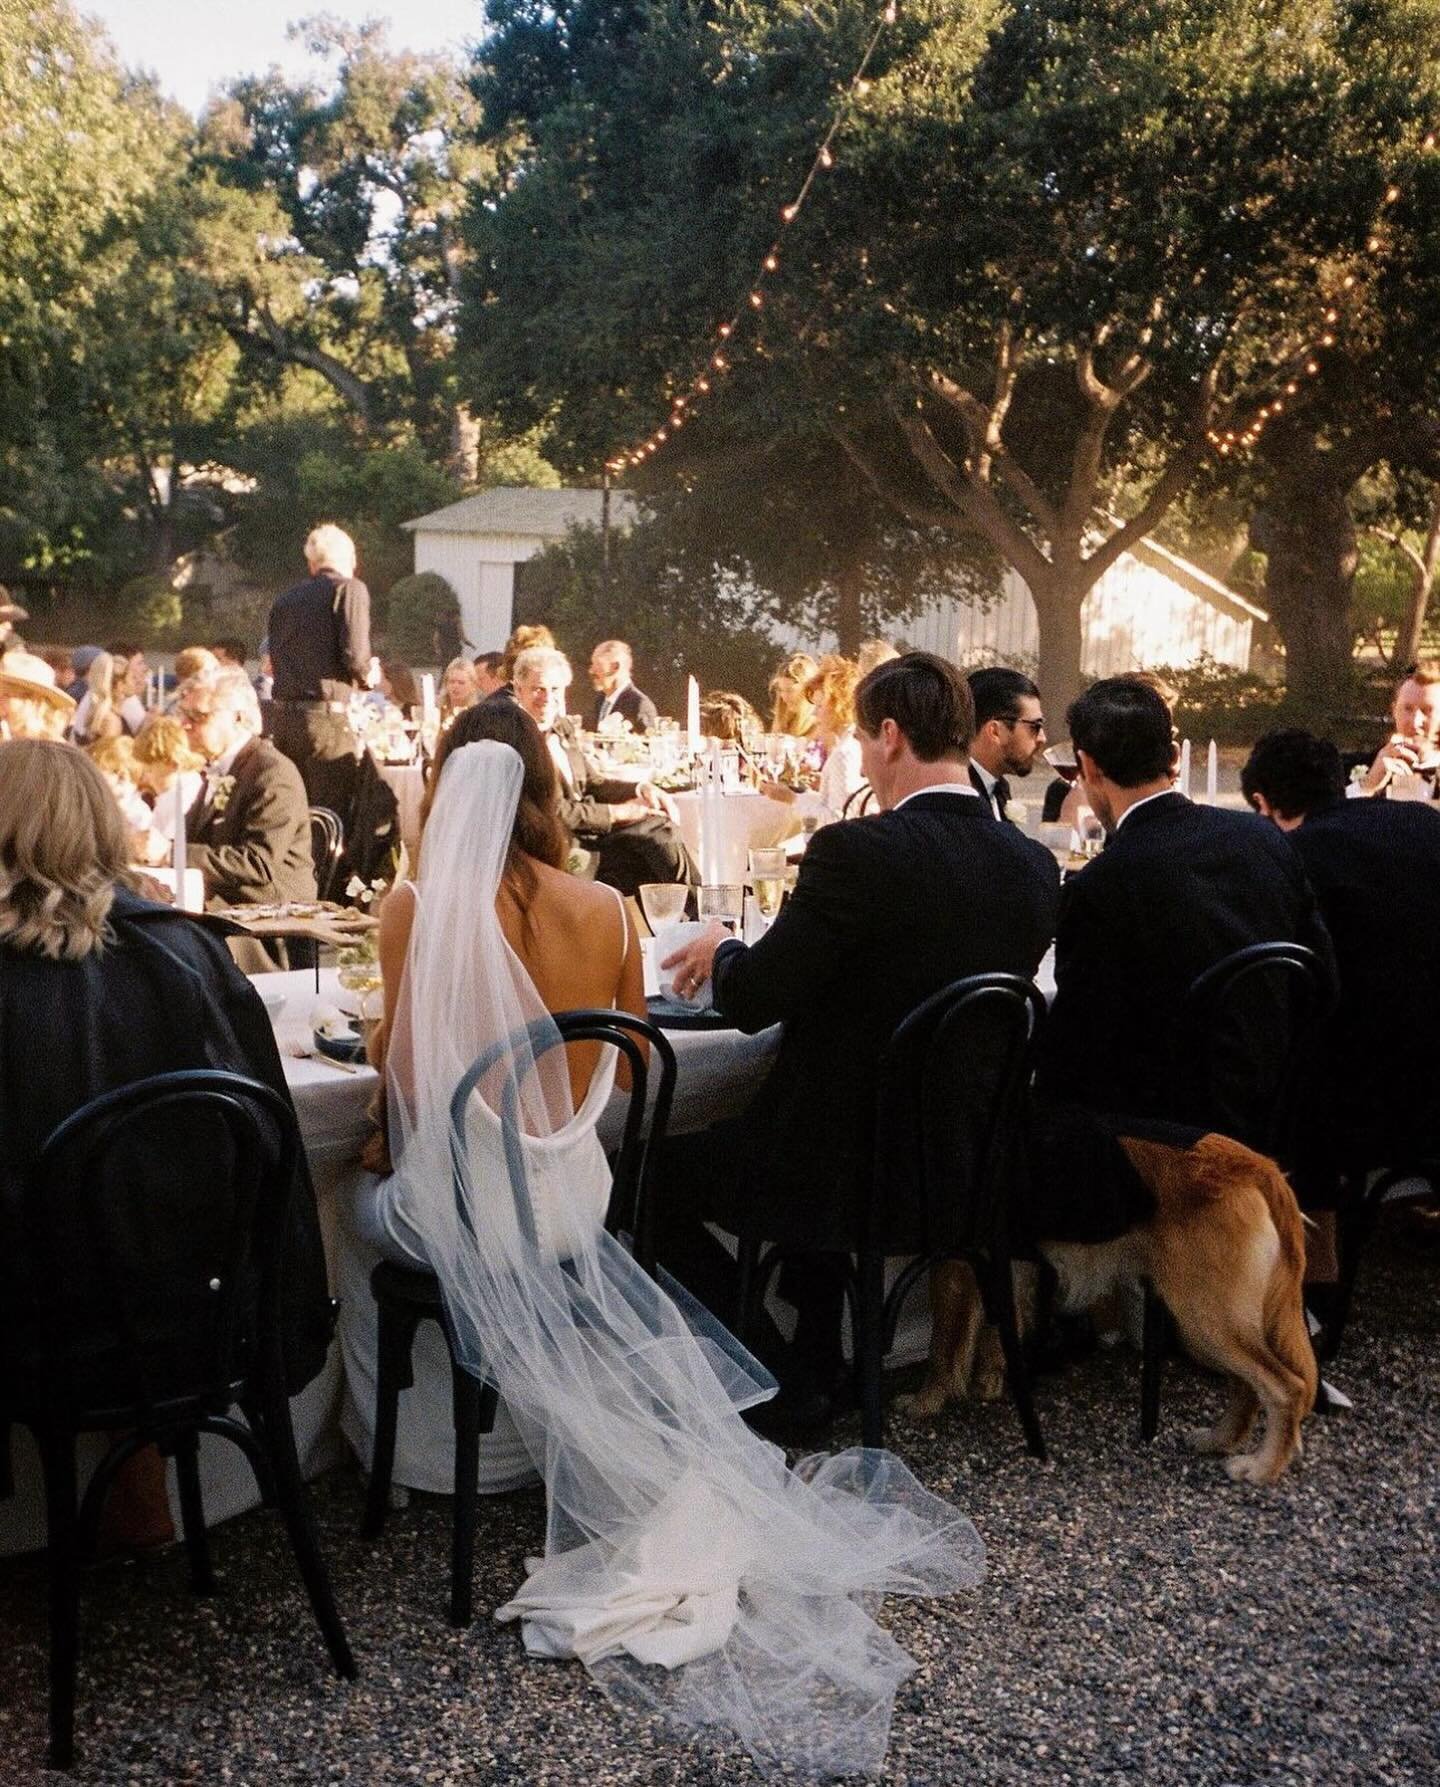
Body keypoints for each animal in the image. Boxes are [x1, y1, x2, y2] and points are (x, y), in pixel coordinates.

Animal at [900, 1136, 1322, 1486]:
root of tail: (1256, 1162)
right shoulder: (1012, 1264)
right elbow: (999, 1329)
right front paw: (989, 1381)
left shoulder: (953, 1261)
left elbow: (943, 1347)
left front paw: (925, 1402)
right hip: (1213, 1323)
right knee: (1247, 1387)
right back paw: (1219, 1440)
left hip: (1204, 1320)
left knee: (1286, 1387)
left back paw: (1262, 1467)